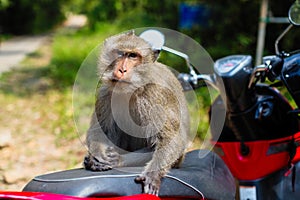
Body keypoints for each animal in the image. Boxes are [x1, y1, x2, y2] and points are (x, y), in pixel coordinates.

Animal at [83, 30, 189, 195]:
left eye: (133, 56)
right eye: (120, 54)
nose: (122, 70)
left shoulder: (154, 94)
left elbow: (171, 138)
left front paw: (152, 174)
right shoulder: (104, 94)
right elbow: (100, 130)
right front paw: (97, 156)